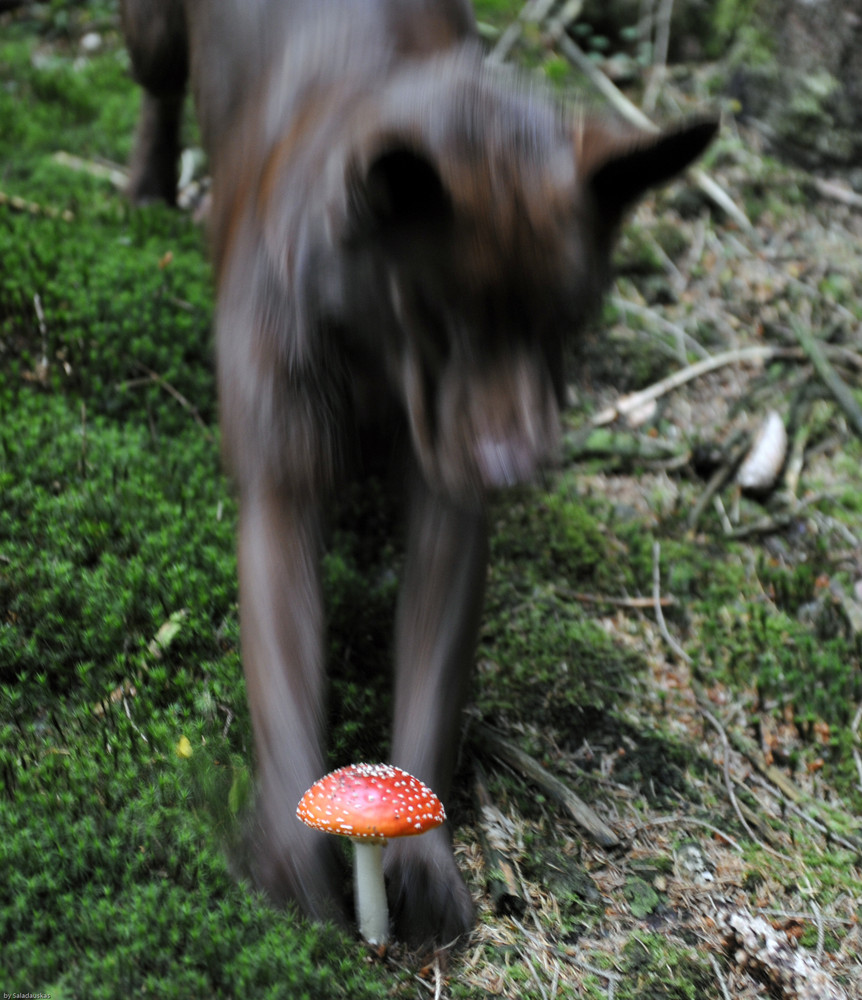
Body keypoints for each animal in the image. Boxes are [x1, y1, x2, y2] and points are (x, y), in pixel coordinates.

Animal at [120, 0, 716, 944]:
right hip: (153, 36)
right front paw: (292, 860)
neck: (376, 355)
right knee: (157, 87)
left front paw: (424, 860)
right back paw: (147, 190)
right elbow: (284, 664)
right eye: (438, 318)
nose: (518, 470)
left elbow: (431, 659)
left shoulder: (452, 501)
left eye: (570, 319)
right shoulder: (282, 483)